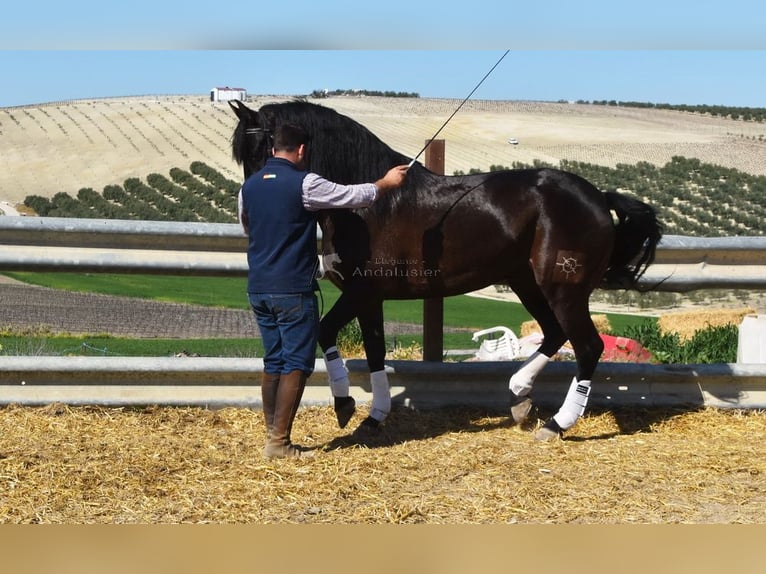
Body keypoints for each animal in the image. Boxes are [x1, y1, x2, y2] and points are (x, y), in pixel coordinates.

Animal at [230, 99, 664, 440]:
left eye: (259, 149)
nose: (249, 214)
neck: (369, 204)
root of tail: (597, 196)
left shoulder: (360, 291)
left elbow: (325, 331)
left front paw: (345, 405)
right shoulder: (370, 298)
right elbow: (374, 351)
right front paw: (374, 417)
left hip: (563, 289)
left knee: (587, 346)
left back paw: (556, 424)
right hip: (526, 282)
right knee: (555, 333)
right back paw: (519, 397)